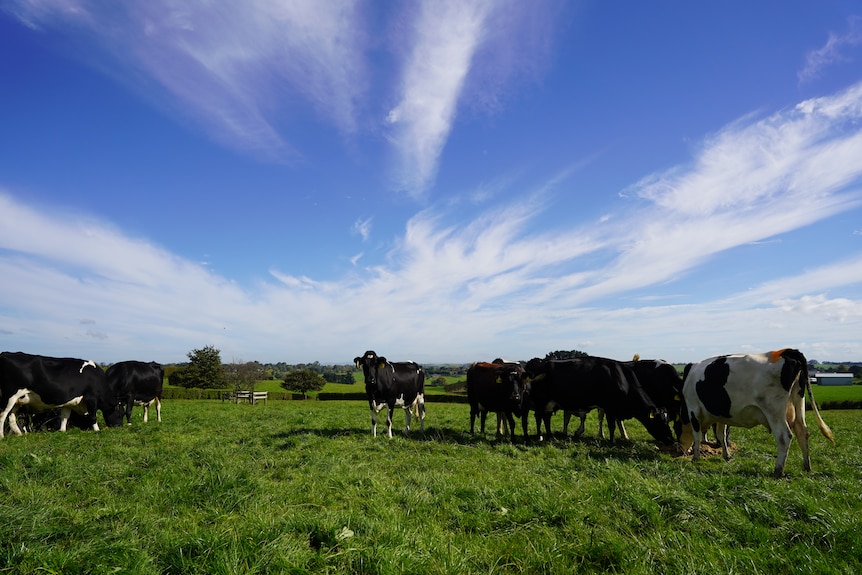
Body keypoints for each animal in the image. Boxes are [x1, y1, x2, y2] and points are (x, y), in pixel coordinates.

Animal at [524, 356, 680, 446]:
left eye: (667, 420)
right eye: (660, 422)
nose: (671, 440)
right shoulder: (609, 407)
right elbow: (611, 425)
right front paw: (612, 440)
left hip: (550, 402)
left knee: (546, 417)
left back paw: (550, 436)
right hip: (541, 400)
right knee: (539, 417)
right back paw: (540, 436)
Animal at [680, 348, 836, 480]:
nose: (682, 451)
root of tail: (786, 351)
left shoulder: (693, 409)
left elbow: (697, 435)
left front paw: (696, 457)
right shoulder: (721, 415)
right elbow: (721, 434)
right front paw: (726, 455)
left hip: (774, 410)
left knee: (784, 436)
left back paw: (778, 471)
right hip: (799, 404)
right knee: (802, 432)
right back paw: (807, 467)